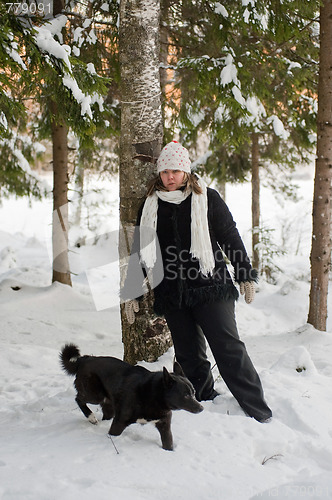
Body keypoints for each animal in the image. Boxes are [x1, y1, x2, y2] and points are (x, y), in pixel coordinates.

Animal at [61, 344, 204, 450]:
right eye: (185, 395)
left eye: (193, 392)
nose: (201, 408)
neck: (153, 395)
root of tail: (85, 359)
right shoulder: (119, 422)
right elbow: (113, 433)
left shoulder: (164, 426)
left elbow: (168, 444)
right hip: (95, 395)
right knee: (78, 398)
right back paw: (91, 417)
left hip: (108, 404)